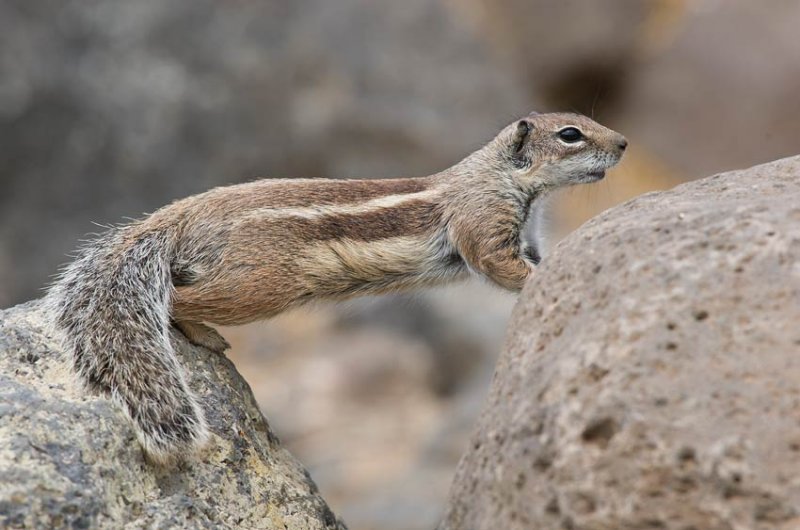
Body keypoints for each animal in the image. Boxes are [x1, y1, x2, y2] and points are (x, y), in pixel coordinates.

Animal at [47, 111, 628, 462]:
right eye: (570, 134)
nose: (624, 142)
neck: (502, 178)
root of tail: (181, 217)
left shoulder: (524, 233)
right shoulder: (483, 224)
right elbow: (500, 266)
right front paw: (540, 281)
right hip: (263, 284)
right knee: (179, 300)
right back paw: (204, 332)